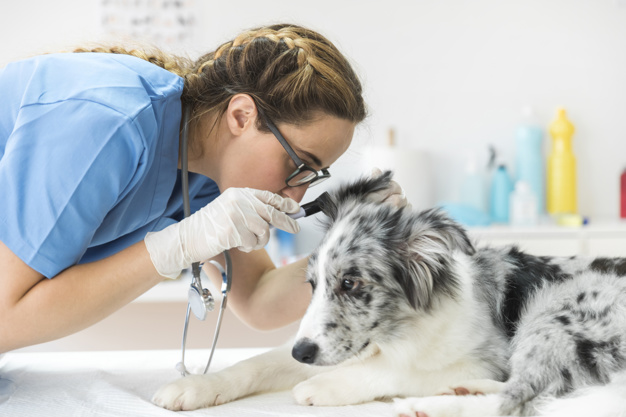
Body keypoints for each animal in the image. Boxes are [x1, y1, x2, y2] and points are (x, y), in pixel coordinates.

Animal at [151, 171, 624, 414]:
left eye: (351, 283)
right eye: (312, 284)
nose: (303, 354)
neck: (400, 331)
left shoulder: (486, 356)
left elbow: (398, 370)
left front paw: (324, 386)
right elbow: (254, 363)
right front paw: (193, 387)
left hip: (551, 317)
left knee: (522, 397)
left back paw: (431, 406)